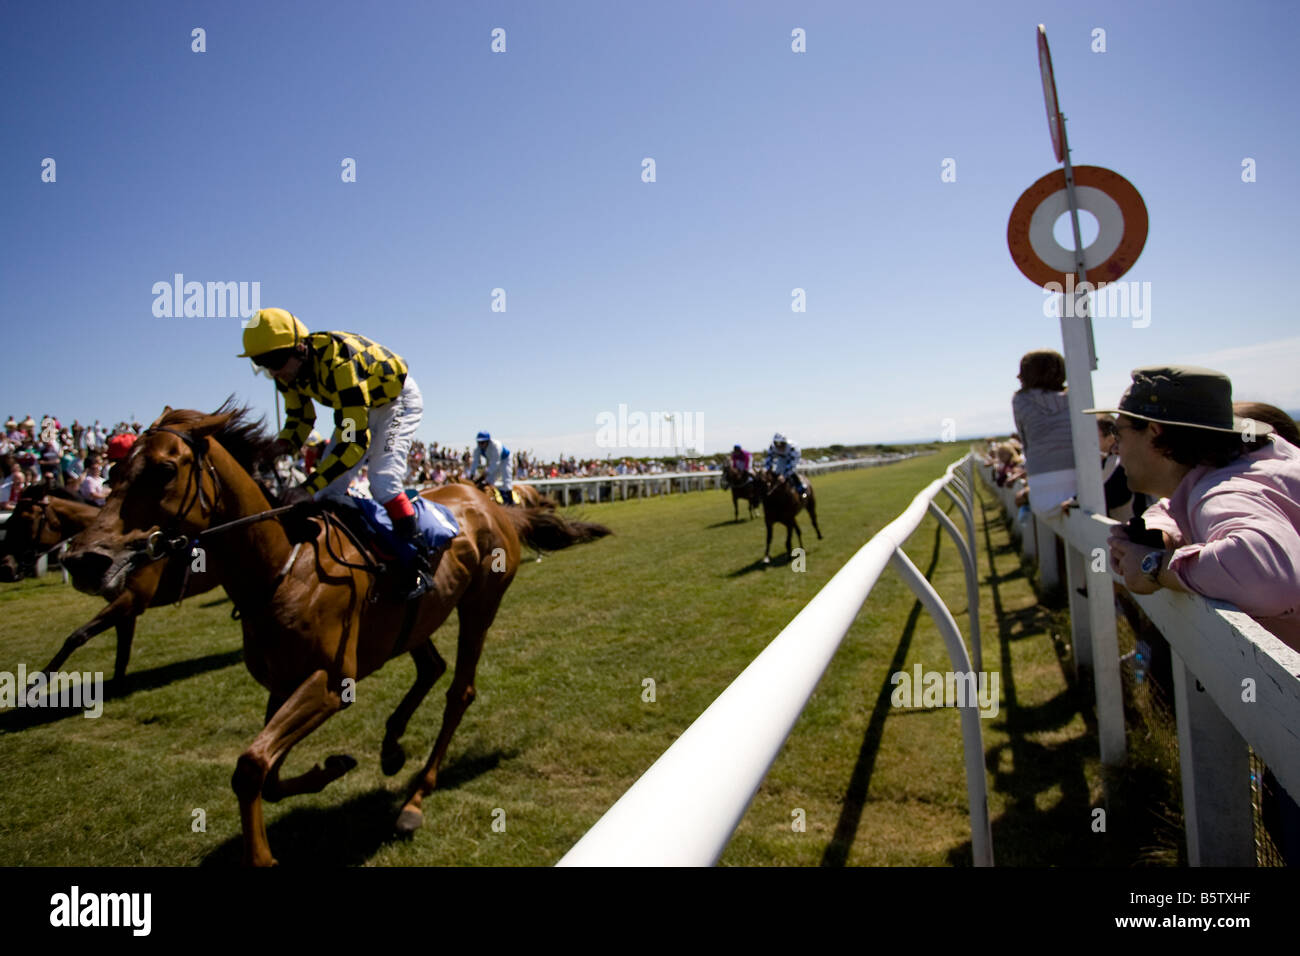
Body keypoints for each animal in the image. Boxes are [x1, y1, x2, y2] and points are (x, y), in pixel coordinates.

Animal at [61, 403, 608, 868]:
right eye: (112, 473)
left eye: (163, 470)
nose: (84, 559)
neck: (281, 568)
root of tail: (489, 502)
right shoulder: (282, 684)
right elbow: (269, 774)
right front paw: (336, 765)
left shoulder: (328, 682)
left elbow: (251, 764)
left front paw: (263, 858)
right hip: (414, 619)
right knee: (431, 667)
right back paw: (391, 748)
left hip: (480, 604)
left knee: (460, 691)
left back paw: (415, 797)